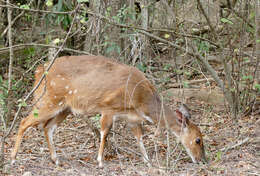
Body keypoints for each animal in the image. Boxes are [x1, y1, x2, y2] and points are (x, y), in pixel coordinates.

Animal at [11, 54, 206, 166]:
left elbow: (139, 137)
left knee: (47, 127)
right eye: (198, 140)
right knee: (24, 121)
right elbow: (104, 132)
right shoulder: (109, 107)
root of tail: (38, 71)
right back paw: (12, 159)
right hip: (49, 99)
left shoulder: (131, 118)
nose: (202, 160)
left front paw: (148, 161)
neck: (142, 101)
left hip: (65, 108)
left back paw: (56, 159)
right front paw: (100, 162)